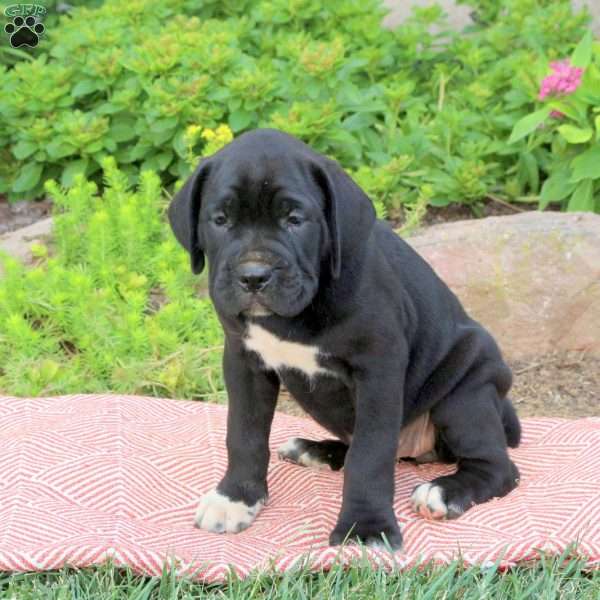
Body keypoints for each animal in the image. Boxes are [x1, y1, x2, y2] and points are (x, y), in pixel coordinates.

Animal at [168, 129, 520, 552]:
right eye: (220, 219)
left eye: (295, 220)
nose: (253, 276)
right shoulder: (244, 360)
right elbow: (244, 433)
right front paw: (236, 498)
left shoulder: (379, 368)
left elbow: (370, 454)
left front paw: (365, 526)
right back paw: (316, 450)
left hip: (466, 394)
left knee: (497, 467)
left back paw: (444, 492)